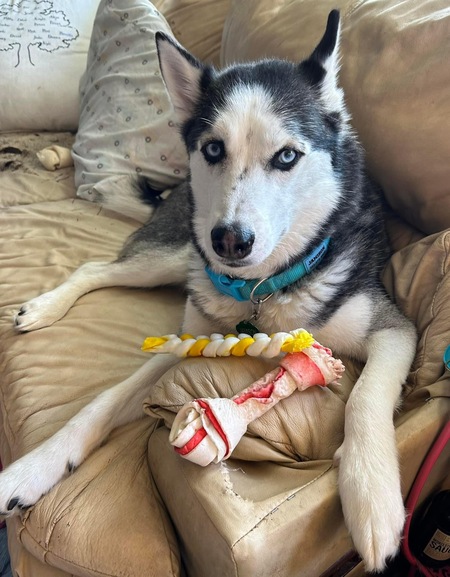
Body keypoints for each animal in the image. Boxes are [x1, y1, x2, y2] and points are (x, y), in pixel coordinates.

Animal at [1, 11, 414, 572]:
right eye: (214, 149)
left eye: (287, 156)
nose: (230, 241)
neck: (262, 289)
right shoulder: (187, 341)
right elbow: (104, 399)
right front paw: (33, 468)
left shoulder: (393, 330)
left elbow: (365, 395)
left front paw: (371, 495)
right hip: (179, 255)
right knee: (96, 267)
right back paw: (44, 308)